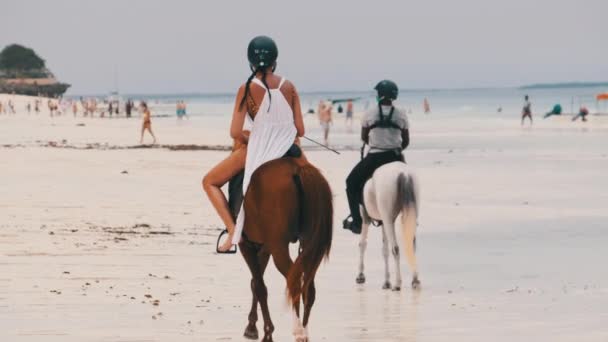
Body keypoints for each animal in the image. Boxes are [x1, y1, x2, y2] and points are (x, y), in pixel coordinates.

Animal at [235, 158, 334, 342]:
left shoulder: (247, 245)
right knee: (308, 287)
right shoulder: (265, 248)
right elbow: (255, 282)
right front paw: (252, 326)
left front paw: (267, 331)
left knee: (293, 281)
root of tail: (297, 167)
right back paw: (305, 330)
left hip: (279, 248)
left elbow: (259, 286)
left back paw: (298, 330)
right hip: (311, 245)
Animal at [354, 162, 420, 290]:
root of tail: (403, 173)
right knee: (410, 246)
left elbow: (362, 244)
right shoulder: (383, 222)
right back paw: (415, 280)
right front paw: (386, 282)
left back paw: (397, 284)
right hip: (407, 217)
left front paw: (360, 276)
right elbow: (384, 251)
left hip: (388, 219)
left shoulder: (366, 218)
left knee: (395, 249)